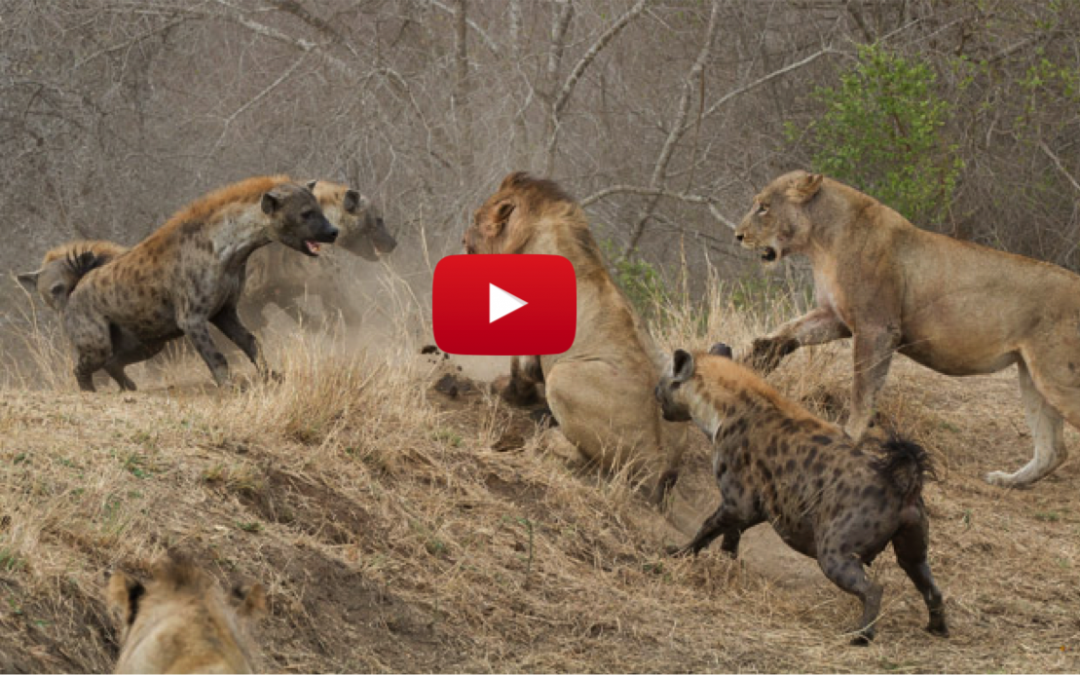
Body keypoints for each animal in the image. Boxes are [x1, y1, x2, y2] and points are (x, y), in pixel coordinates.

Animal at [465, 172, 688, 503]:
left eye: (477, 217)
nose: (464, 236)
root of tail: (658, 461)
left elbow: (519, 371)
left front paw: (508, 391)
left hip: (564, 376)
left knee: (585, 458)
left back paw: (548, 429)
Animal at [736, 169, 1080, 488]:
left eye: (763, 207)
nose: (737, 235)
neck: (821, 241)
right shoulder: (836, 316)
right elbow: (791, 329)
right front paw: (759, 356)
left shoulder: (877, 326)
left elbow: (864, 387)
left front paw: (851, 436)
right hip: (1032, 375)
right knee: (1053, 450)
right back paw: (1007, 480)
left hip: (1058, 376)